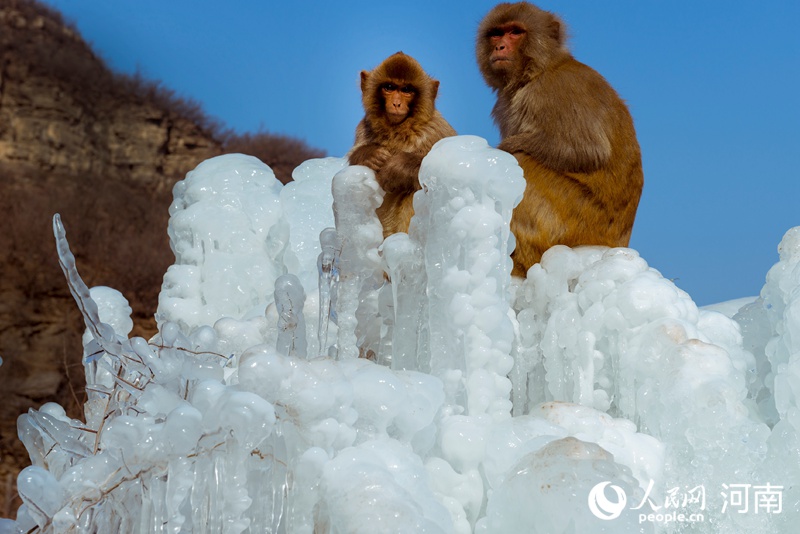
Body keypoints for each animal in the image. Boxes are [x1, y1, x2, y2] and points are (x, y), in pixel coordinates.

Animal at [348, 51, 456, 239]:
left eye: (406, 90)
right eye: (389, 87)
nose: (397, 103)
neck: (398, 130)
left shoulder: (436, 129)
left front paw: (397, 168)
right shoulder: (364, 127)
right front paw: (370, 155)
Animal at [476, 4, 644, 278]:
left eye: (515, 32)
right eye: (496, 34)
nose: (499, 47)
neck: (540, 70)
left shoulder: (551, 91)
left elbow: (586, 152)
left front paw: (503, 148)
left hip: (576, 222)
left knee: (522, 163)